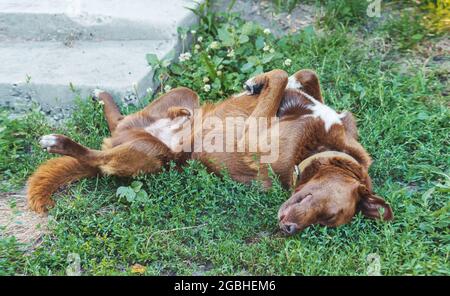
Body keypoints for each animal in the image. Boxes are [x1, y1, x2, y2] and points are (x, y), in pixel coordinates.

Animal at [27, 68, 394, 235]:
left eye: (326, 220)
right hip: (181, 96)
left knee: (99, 159)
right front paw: (258, 81)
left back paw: (57, 142)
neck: (322, 146)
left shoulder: (253, 134)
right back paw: (105, 98)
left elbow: (281, 79)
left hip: (148, 155)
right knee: (118, 121)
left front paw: (263, 81)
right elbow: (301, 76)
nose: (289, 230)